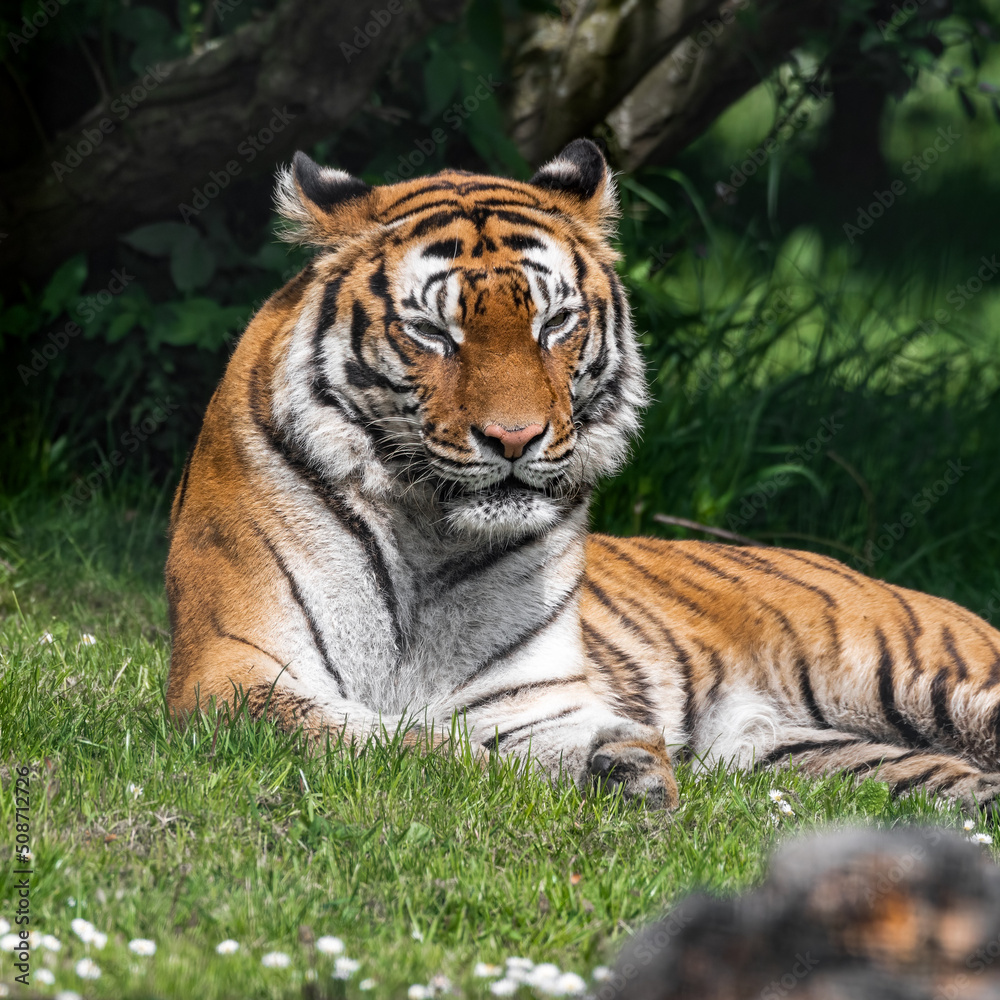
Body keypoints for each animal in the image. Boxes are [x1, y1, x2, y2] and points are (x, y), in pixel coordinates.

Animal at [168, 141, 1000, 812]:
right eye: (434, 332)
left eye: (555, 324)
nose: (513, 438)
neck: (427, 535)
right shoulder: (231, 671)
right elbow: (390, 743)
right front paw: (596, 766)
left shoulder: (524, 694)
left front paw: (617, 763)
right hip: (795, 751)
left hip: (922, 672)